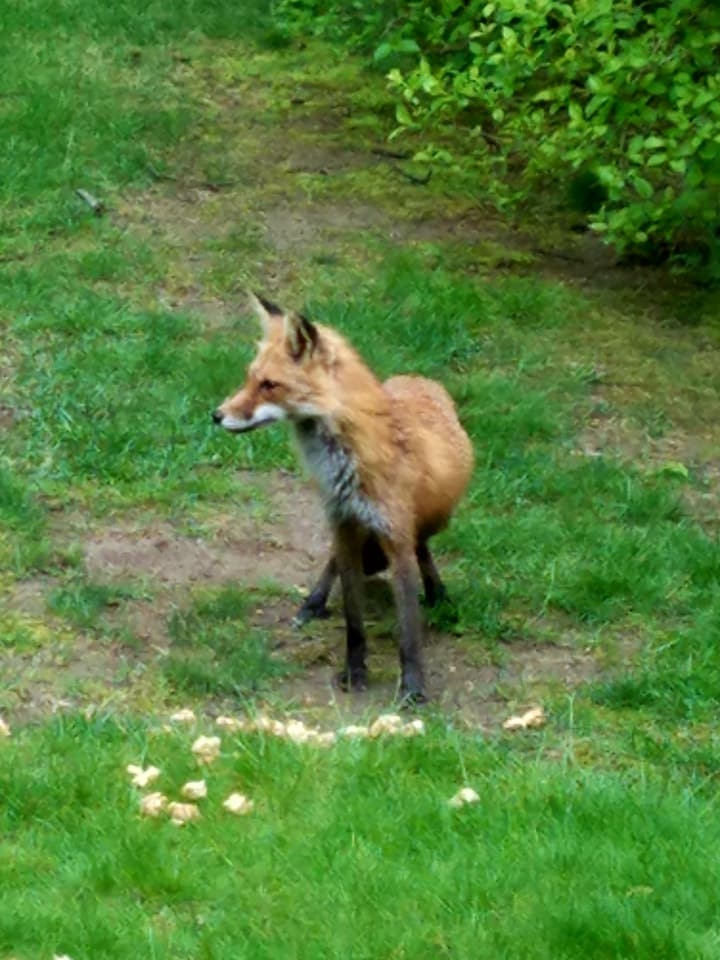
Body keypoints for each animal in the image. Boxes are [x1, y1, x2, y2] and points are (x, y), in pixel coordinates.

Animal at [211, 292, 476, 704]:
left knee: (424, 547)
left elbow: (409, 630)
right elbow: (354, 621)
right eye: (250, 378)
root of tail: (417, 378)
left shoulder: (395, 538)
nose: (217, 415)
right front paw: (354, 673)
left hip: (431, 520)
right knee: (334, 562)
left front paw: (413, 687)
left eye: (269, 385)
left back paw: (437, 592)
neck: (347, 466)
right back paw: (313, 603)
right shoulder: (345, 527)